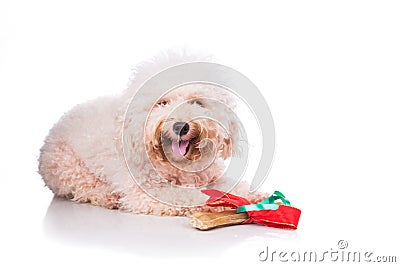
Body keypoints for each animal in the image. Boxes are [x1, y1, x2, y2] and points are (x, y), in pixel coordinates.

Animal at [39, 50, 266, 217]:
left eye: (197, 102)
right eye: (162, 103)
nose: (180, 126)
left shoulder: (211, 176)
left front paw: (255, 196)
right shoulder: (150, 191)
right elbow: (194, 196)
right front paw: (222, 202)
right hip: (68, 167)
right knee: (84, 186)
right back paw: (106, 196)